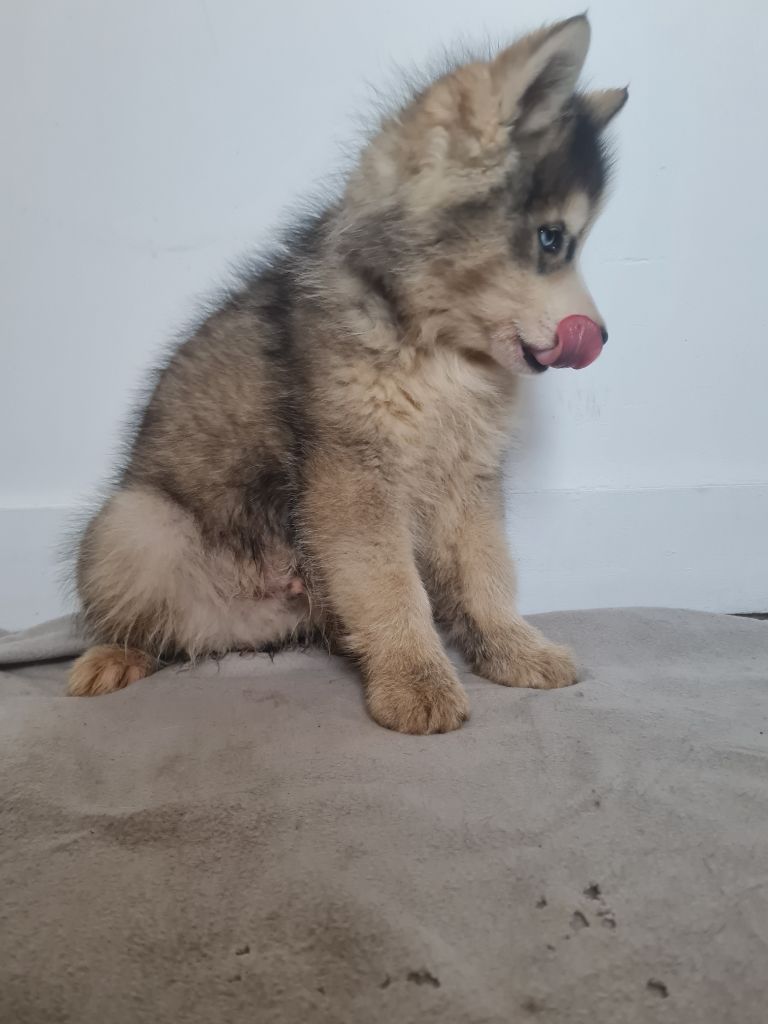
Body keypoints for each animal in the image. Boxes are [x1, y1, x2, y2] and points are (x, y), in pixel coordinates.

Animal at [68, 14, 627, 734]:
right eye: (554, 239)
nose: (602, 338)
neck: (435, 347)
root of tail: (249, 626)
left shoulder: (468, 480)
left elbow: (486, 573)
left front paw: (510, 647)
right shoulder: (353, 474)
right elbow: (391, 585)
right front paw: (415, 678)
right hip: (135, 525)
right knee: (152, 629)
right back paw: (116, 654)